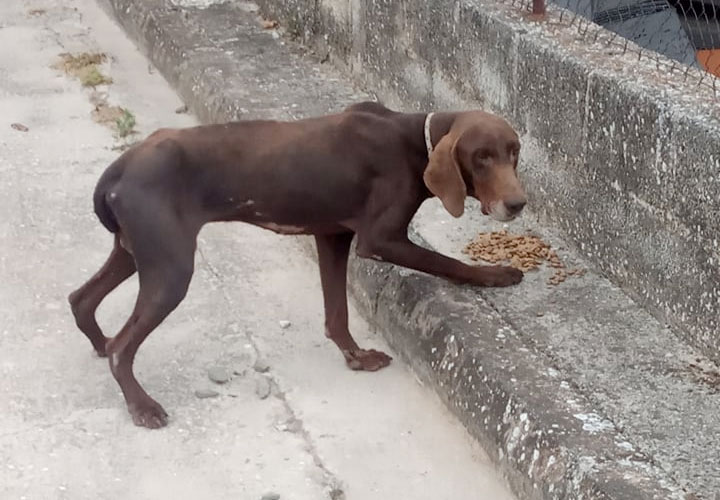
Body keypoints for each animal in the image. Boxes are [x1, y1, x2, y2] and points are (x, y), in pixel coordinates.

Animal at [69, 100, 528, 426]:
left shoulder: (332, 236)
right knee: (121, 348)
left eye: (514, 152)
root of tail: (119, 168)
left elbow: (336, 315)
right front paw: (496, 274)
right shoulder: (380, 240)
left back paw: (98, 343)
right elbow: (449, 263)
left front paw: (355, 357)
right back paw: (142, 406)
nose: (518, 203)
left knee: (80, 299)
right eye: (481, 156)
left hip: (135, 251)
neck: (415, 140)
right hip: (171, 268)